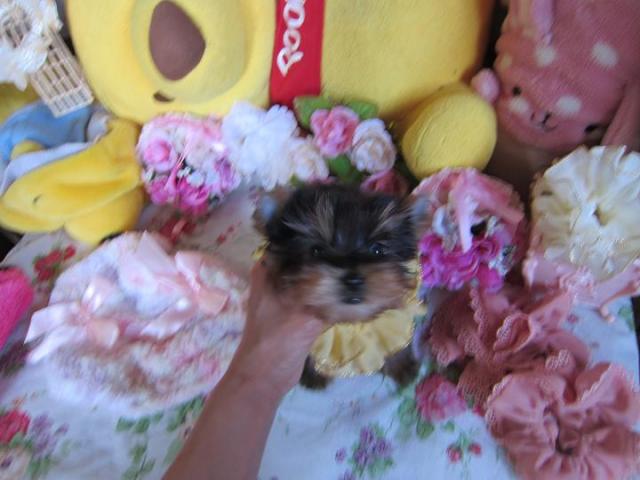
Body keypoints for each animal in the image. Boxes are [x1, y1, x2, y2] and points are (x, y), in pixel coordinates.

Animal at [255, 184, 424, 389]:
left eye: (378, 250)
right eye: (317, 250)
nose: (353, 280)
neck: (350, 321)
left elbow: (394, 342)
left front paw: (402, 365)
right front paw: (312, 374)